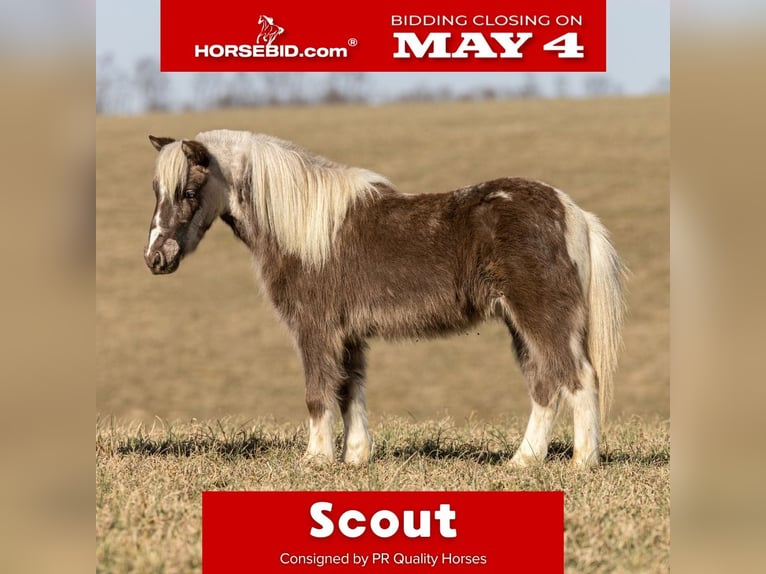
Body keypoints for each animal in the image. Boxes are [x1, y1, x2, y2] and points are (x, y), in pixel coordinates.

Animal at [144, 129, 626, 467]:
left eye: (189, 192)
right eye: (156, 191)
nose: (156, 258)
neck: (306, 228)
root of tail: (573, 213)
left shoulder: (316, 330)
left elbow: (319, 392)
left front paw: (315, 459)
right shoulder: (348, 335)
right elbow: (349, 390)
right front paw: (356, 457)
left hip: (543, 319)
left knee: (579, 379)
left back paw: (583, 463)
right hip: (520, 325)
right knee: (545, 386)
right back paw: (523, 462)